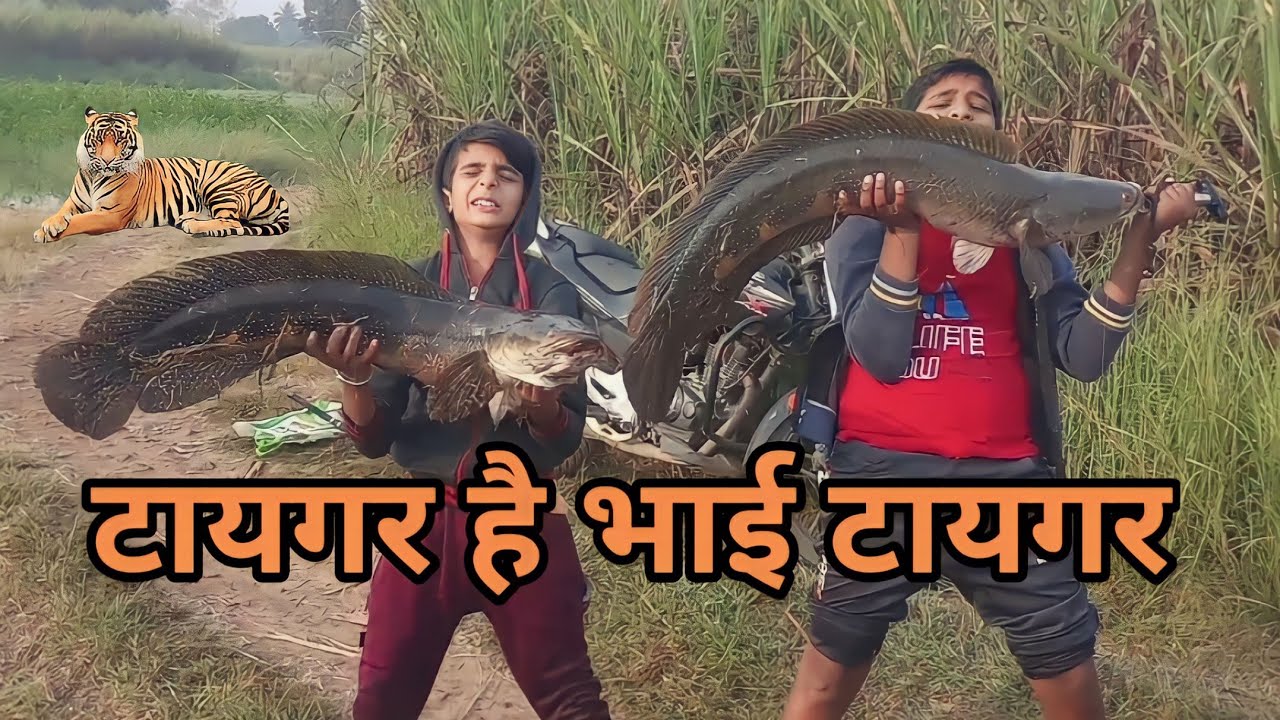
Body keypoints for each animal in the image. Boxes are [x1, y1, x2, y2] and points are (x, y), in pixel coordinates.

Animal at [34, 107, 291, 244]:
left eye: (119, 140)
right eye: (99, 140)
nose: (107, 161)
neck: (95, 174)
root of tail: (274, 191)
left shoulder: (110, 214)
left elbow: (79, 221)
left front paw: (45, 233)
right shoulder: (74, 202)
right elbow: (61, 213)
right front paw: (48, 225)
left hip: (218, 184)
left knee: (231, 221)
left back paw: (192, 226)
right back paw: (187, 218)